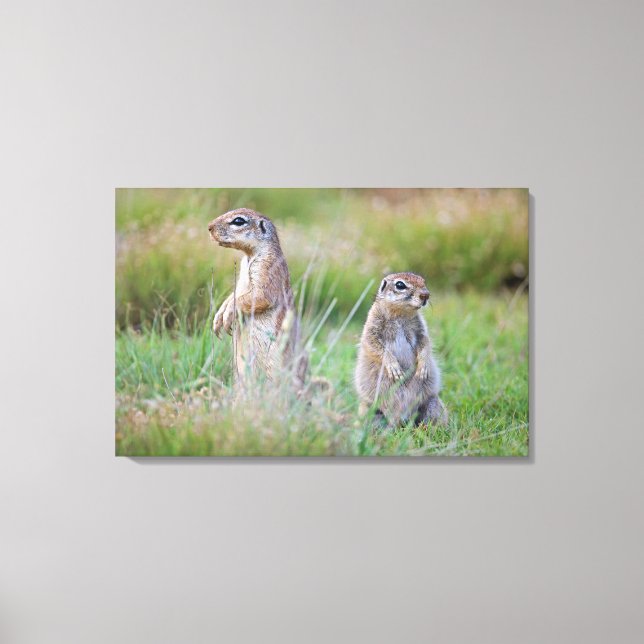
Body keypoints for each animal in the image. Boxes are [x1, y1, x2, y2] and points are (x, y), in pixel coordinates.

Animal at [208, 208, 306, 389]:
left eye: (238, 221)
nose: (209, 227)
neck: (249, 256)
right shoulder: (240, 279)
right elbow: (233, 295)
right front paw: (218, 317)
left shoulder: (268, 268)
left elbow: (260, 296)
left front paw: (227, 315)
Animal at [355, 272, 447, 427]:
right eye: (400, 285)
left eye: (423, 281)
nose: (426, 295)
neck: (401, 313)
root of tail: (401, 417)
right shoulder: (372, 325)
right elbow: (373, 344)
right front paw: (393, 367)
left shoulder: (421, 329)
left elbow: (425, 343)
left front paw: (423, 366)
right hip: (369, 409)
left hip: (432, 403)